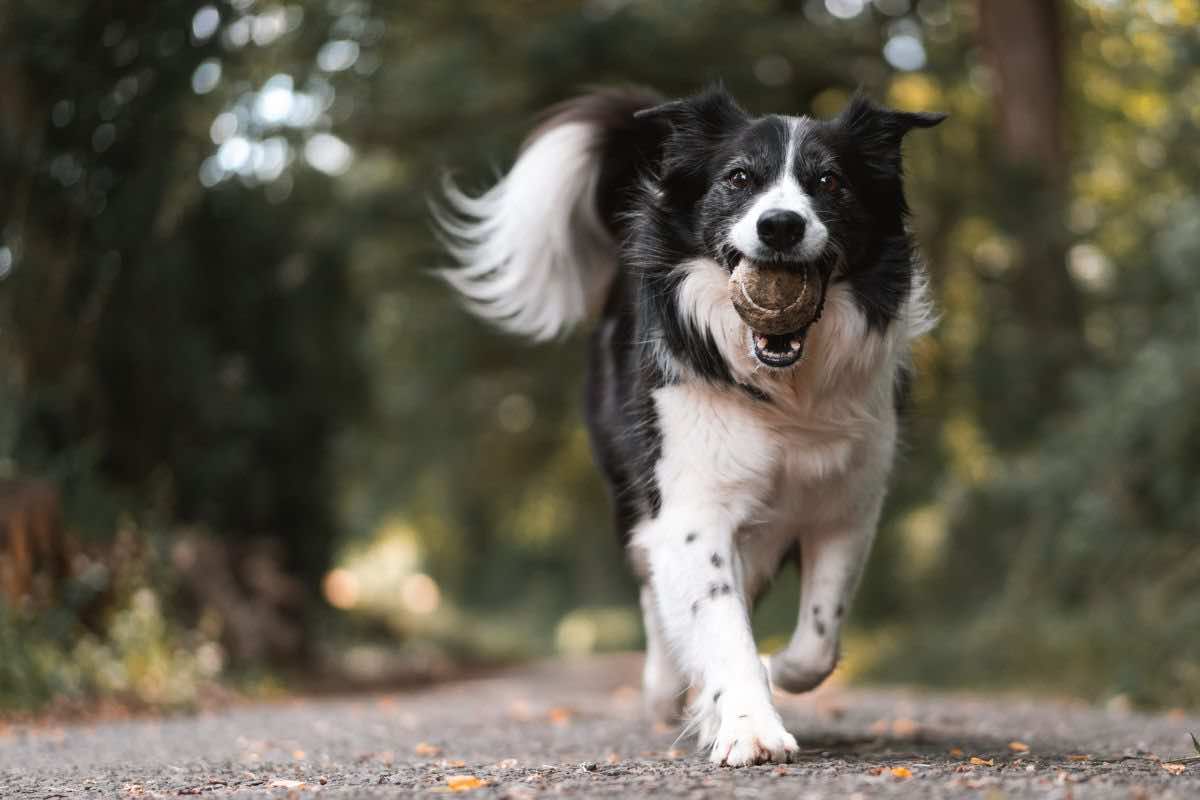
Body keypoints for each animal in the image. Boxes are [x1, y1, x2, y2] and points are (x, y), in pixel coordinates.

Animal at [434, 84, 945, 767]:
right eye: (739, 178)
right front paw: (749, 726)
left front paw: (770, 676)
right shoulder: (691, 505)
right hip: (632, 490)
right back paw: (665, 689)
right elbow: (718, 622)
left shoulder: (847, 504)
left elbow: (817, 641)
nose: (780, 225)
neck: (785, 389)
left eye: (830, 182)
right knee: (655, 592)